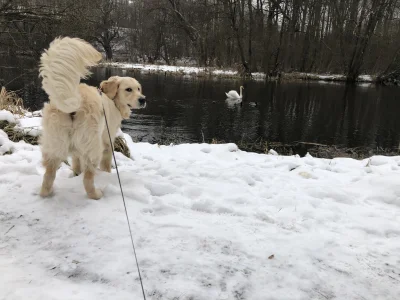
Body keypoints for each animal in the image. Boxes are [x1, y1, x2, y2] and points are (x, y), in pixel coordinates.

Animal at [38, 37, 145, 199]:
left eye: (139, 88)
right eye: (128, 89)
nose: (143, 99)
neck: (111, 100)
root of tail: (74, 102)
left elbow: (76, 161)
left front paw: (76, 173)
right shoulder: (108, 140)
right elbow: (106, 164)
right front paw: (107, 174)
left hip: (55, 144)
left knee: (48, 175)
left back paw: (47, 192)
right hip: (93, 146)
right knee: (88, 178)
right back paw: (95, 194)